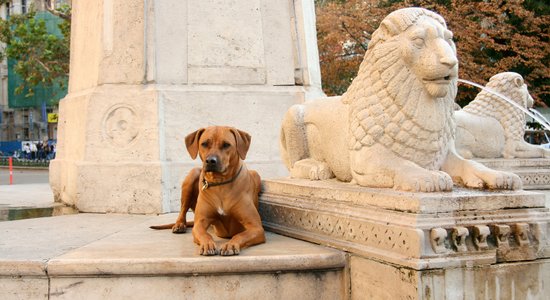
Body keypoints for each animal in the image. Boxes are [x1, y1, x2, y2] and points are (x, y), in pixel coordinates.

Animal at [150, 126, 264, 255]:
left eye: (226, 144)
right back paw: (179, 225)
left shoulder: (256, 227)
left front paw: (230, 245)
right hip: (192, 174)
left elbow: (240, 235)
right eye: (204, 144)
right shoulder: (199, 223)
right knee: (183, 209)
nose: (210, 161)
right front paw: (207, 244)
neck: (220, 184)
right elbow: (204, 234)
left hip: (256, 174)